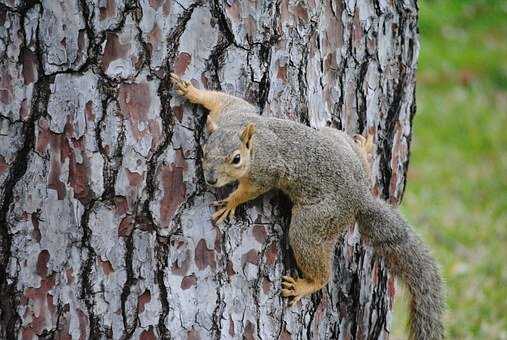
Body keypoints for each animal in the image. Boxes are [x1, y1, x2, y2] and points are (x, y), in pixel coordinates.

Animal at [171, 73, 444, 338]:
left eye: (236, 159)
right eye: (204, 151)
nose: (211, 179)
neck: (251, 142)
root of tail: (359, 197)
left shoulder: (264, 172)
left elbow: (251, 189)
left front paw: (231, 201)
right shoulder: (234, 111)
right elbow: (221, 99)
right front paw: (192, 91)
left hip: (316, 221)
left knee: (316, 261)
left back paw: (307, 285)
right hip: (335, 138)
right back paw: (365, 150)